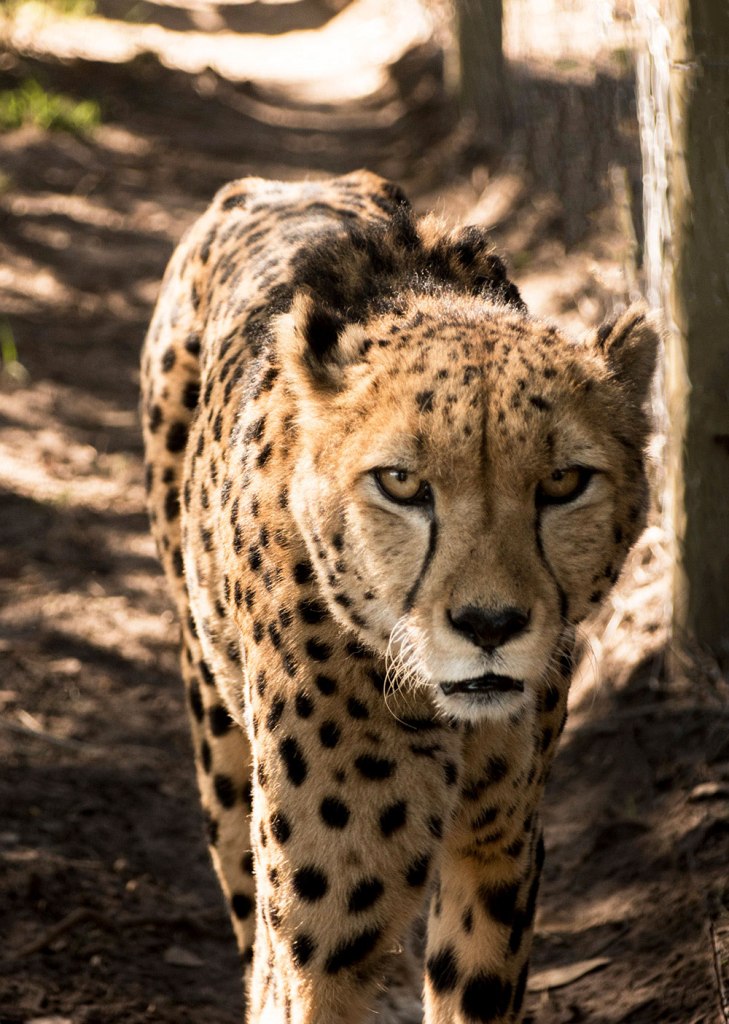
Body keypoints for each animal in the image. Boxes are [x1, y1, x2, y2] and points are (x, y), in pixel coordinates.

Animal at [141, 169, 659, 1024]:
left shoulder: (502, 847)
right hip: (215, 733)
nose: (488, 623)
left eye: (562, 482)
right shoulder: (323, 929)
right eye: (401, 483)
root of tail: (284, 183)